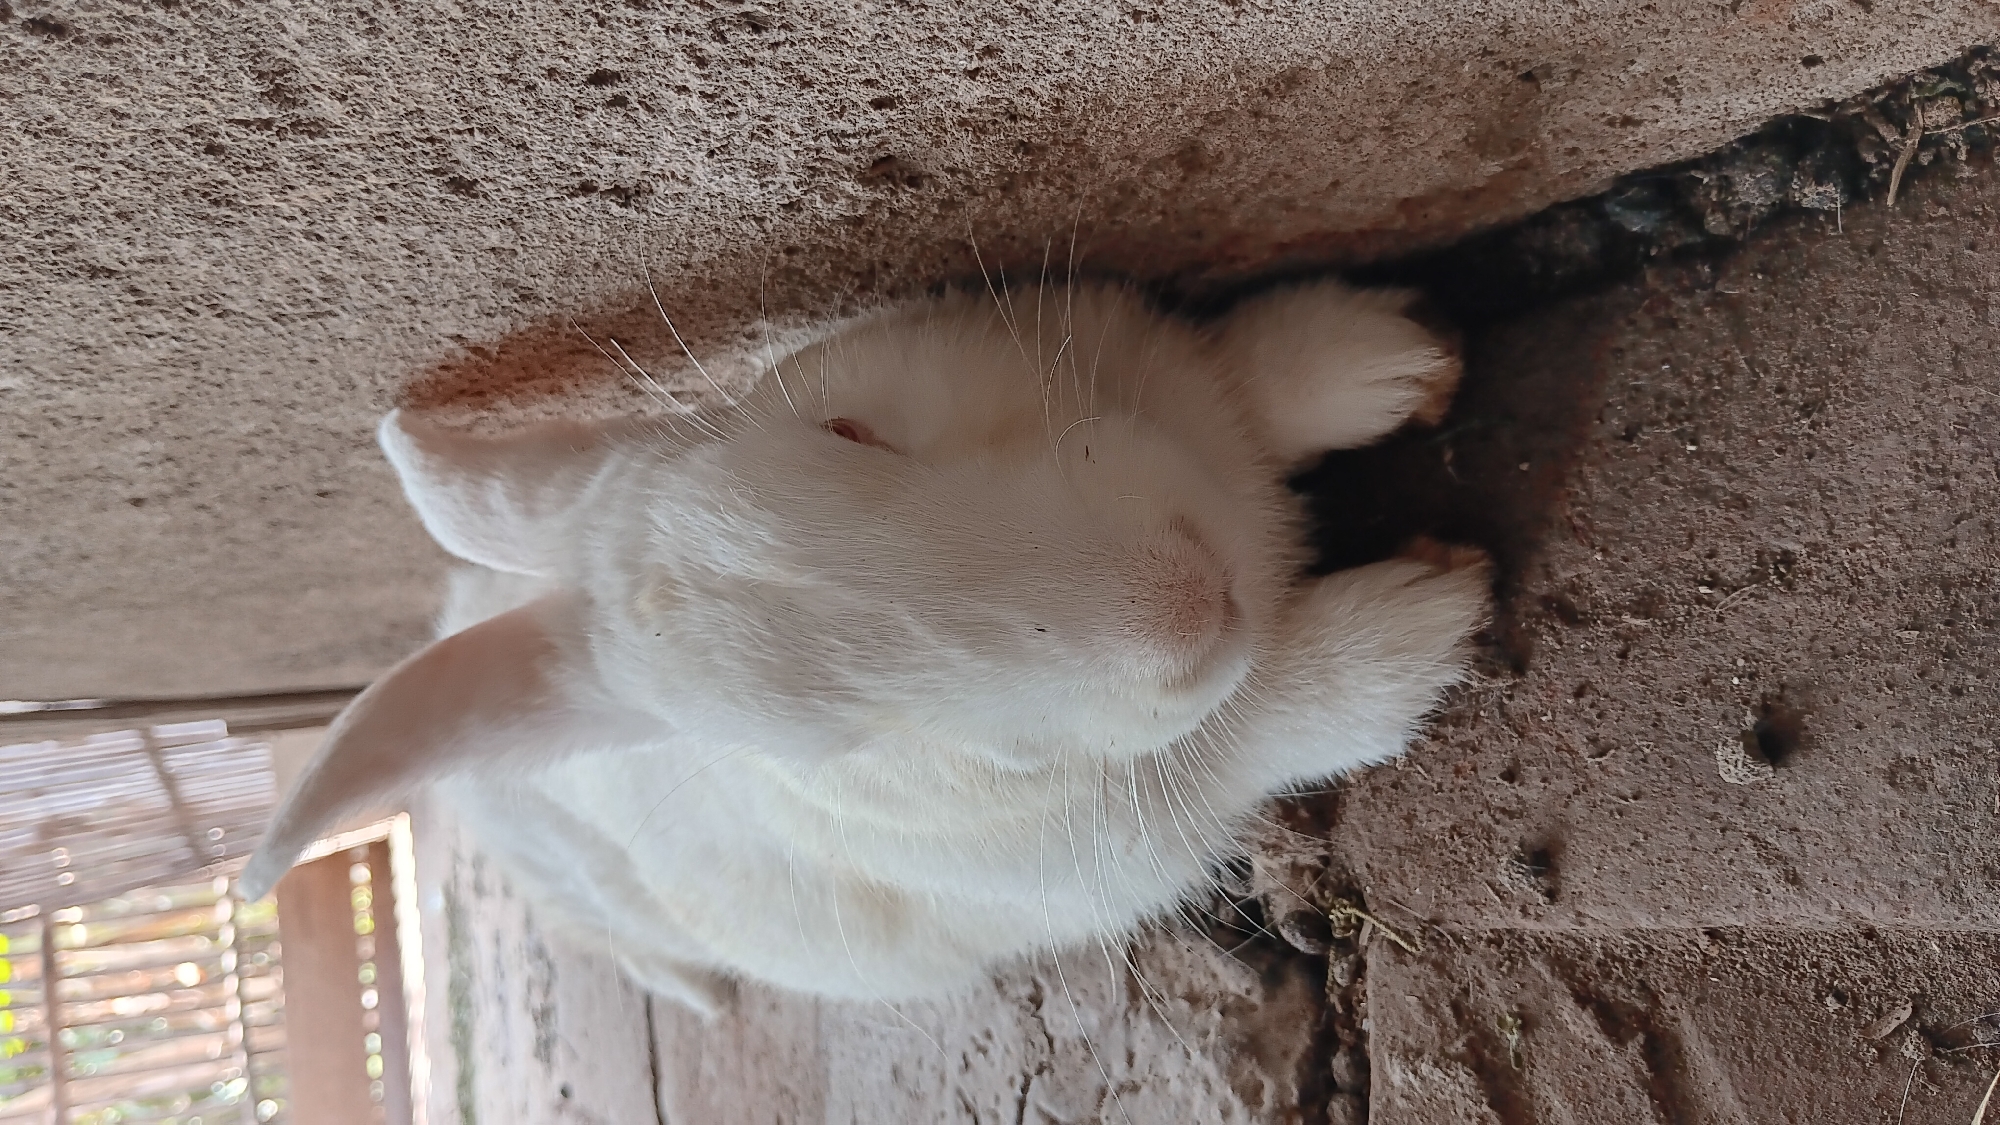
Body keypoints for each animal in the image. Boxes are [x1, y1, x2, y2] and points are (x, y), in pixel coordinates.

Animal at [239, 279, 1491, 1014]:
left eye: (845, 430)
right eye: (848, 743)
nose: (1181, 600)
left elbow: (1249, 383)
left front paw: (1392, 361)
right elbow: (1277, 708)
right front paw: (1430, 614)